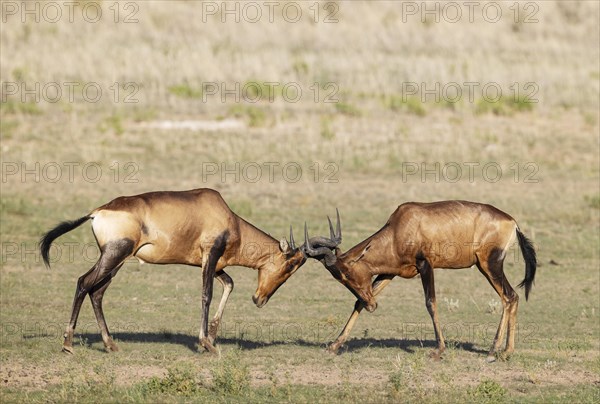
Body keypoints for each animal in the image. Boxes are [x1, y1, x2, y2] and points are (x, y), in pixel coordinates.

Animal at [39, 188, 308, 352]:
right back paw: (68, 343)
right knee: (84, 283)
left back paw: (110, 344)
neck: (226, 215)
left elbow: (230, 284)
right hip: (114, 254)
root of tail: (97, 212)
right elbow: (206, 295)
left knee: (97, 292)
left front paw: (211, 337)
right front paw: (207, 344)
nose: (259, 299)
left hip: (116, 261)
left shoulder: (211, 264)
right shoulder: (211, 255)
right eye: (291, 264)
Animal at [308, 200, 536, 362]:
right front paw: (334, 345)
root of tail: (512, 223)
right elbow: (358, 303)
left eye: (346, 274)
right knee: (513, 297)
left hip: (490, 265)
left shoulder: (425, 265)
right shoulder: (390, 273)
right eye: (339, 278)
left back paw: (492, 352)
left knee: (509, 297)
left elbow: (431, 303)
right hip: (486, 266)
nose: (372, 305)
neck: (400, 227)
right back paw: (506, 352)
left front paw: (438, 351)